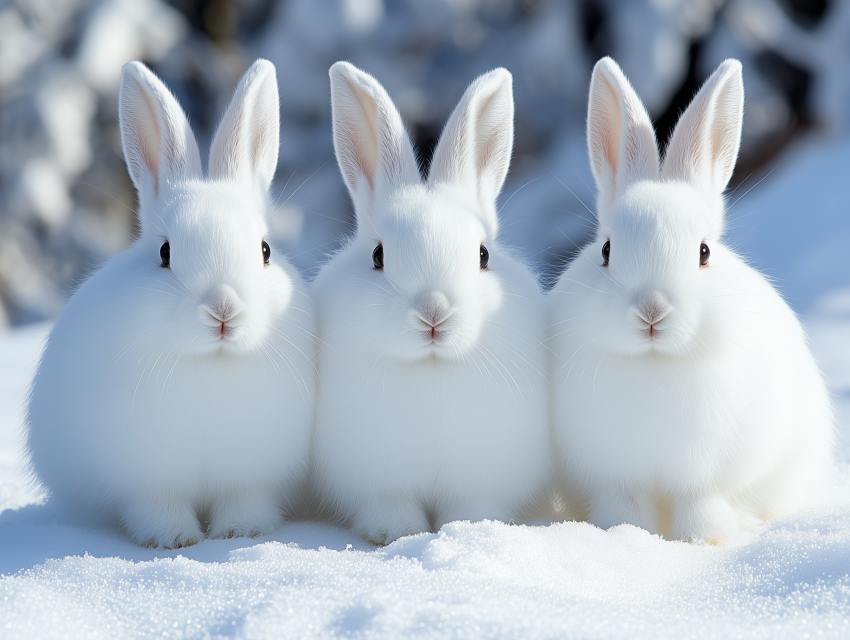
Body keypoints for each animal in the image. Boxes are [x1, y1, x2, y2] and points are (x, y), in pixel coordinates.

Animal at [25, 59, 317, 549]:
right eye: (164, 253)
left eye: (264, 251)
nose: (223, 309)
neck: (211, 363)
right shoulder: (150, 481)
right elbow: (158, 507)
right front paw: (174, 540)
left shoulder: (250, 476)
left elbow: (244, 499)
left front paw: (240, 532)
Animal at [310, 62, 551, 545]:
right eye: (378, 255)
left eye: (483, 255)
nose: (434, 313)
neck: (431, 368)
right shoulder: (379, 479)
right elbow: (390, 504)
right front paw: (394, 532)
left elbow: (471, 504)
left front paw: (473, 526)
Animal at [548, 57, 836, 543]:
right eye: (606, 250)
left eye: (703, 252)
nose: (652, 311)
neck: (655, 362)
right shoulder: (618, 479)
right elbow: (626, 509)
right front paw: (625, 535)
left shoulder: (706, 480)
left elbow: (701, 506)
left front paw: (705, 540)